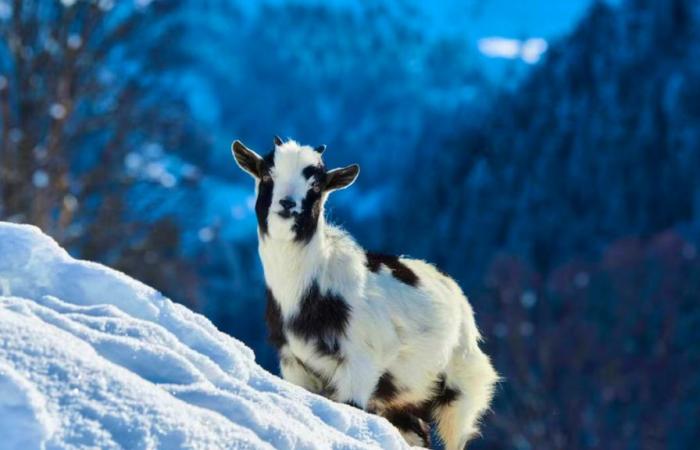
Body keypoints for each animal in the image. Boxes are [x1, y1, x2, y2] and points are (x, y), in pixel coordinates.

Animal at [232, 138, 494, 450]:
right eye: (267, 175)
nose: (287, 204)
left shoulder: (360, 366)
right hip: (404, 396)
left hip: (460, 389)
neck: (306, 295)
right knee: (419, 432)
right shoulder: (294, 365)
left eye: (316, 186)